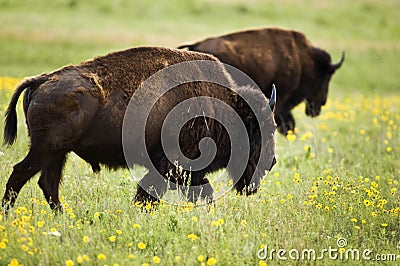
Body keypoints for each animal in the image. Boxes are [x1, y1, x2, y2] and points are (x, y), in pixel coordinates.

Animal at [1, 46, 276, 212]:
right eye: (260, 130)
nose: (271, 163)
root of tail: (43, 79)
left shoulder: (186, 170)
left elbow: (197, 192)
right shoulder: (172, 163)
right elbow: (149, 193)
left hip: (57, 153)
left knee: (48, 183)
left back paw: (63, 218)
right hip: (45, 149)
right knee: (20, 174)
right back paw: (8, 214)